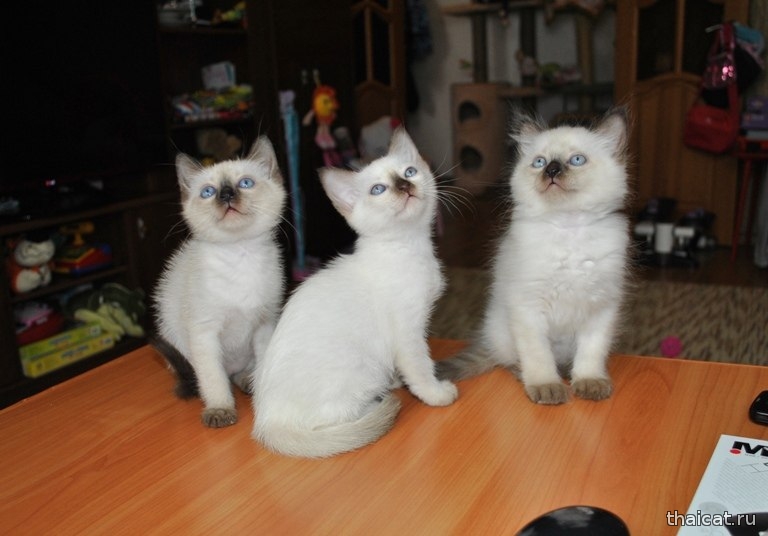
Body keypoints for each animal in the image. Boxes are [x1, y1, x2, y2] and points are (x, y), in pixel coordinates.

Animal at [152, 136, 287, 427]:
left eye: (245, 183)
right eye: (208, 192)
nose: (226, 195)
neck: (241, 253)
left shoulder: (264, 324)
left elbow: (263, 363)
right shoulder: (204, 333)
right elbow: (213, 378)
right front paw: (220, 409)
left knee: (240, 373)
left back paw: (248, 381)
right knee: (213, 375)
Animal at [252, 127, 457, 458]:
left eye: (409, 172)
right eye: (378, 189)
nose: (404, 186)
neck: (410, 245)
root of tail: (265, 423)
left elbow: (405, 368)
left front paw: (398, 379)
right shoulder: (409, 333)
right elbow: (420, 368)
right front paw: (436, 394)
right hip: (362, 370)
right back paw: (377, 404)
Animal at [436, 106, 631, 405]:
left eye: (577, 160)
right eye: (539, 162)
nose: (552, 169)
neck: (568, 228)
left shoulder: (601, 307)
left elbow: (591, 353)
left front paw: (589, 382)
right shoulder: (528, 308)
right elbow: (538, 356)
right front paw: (547, 388)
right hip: (504, 330)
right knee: (511, 360)